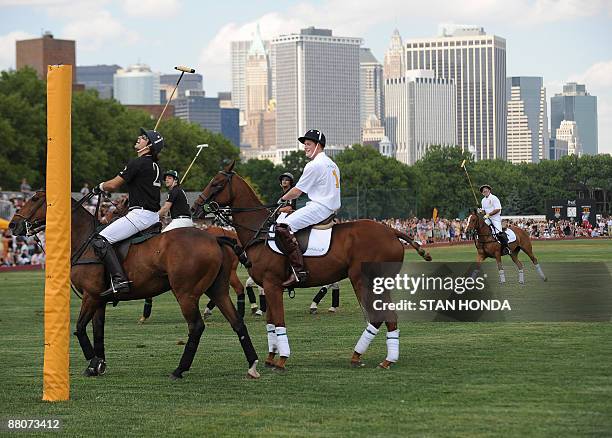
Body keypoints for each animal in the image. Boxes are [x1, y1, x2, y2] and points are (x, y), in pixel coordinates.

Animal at [9, 192, 260, 380]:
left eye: (34, 199)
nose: (13, 225)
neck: (84, 240)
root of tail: (216, 238)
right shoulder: (99, 299)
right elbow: (98, 330)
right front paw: (97, 365)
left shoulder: (90, 295)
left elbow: (79, 328)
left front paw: (93, 362)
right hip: (217, 289)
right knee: (236, 322)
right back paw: (253, 365)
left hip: (186, 293)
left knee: (196, 326)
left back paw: (179, 369)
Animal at [191, 163, 430, 372]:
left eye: (216, 183)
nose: (194, 208)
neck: (259, 232)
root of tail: (392, 231)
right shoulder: (269, 286)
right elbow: (270, 322)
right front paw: (270, 358)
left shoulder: (272, 284)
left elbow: (279, 321)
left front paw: (282, 360)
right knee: (386, 316)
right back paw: (378, 358)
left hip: (362, 280)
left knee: (379, 316)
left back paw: (369, 357)